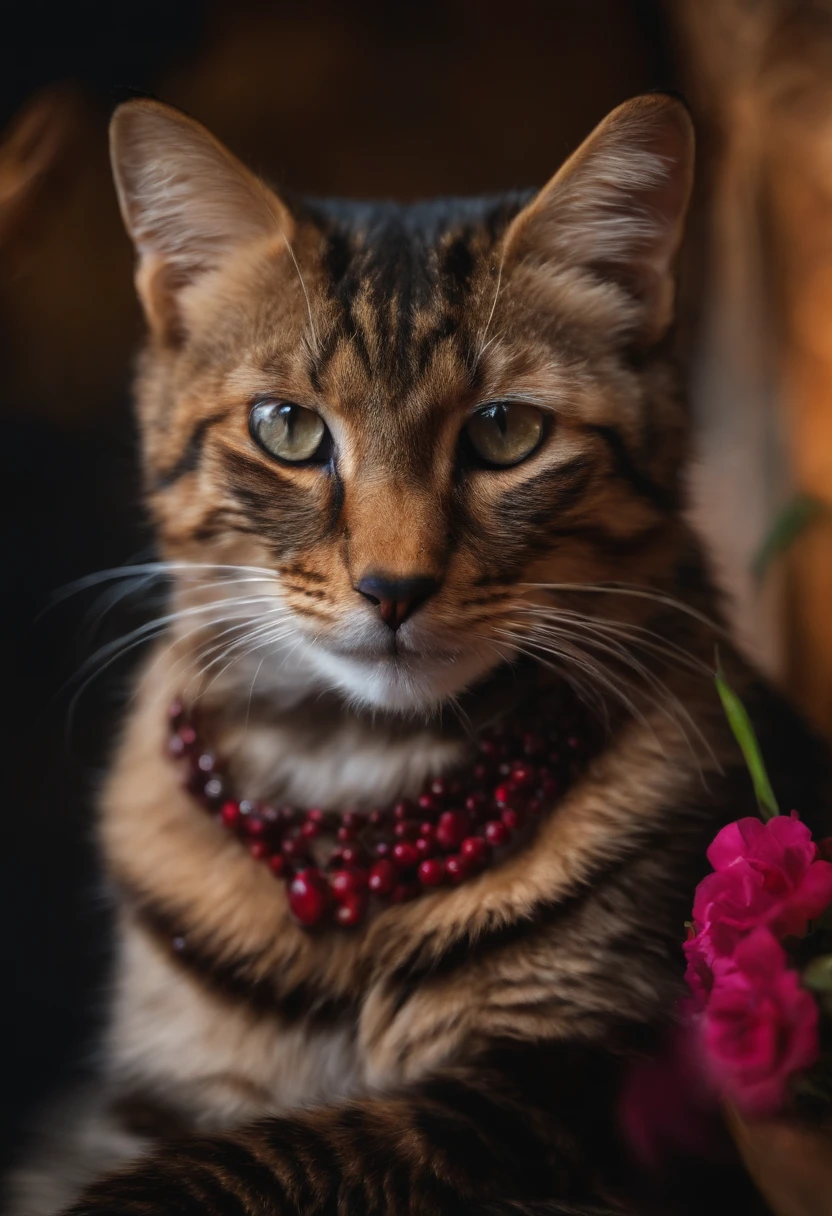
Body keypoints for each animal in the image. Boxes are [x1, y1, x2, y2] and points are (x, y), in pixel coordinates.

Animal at [4, 92, 827, 1216]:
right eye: (288, 427)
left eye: (507, 431)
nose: (393, 587)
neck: (354, 770)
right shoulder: (158, 1086)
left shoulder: (571, 1097)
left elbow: (296, 1150)